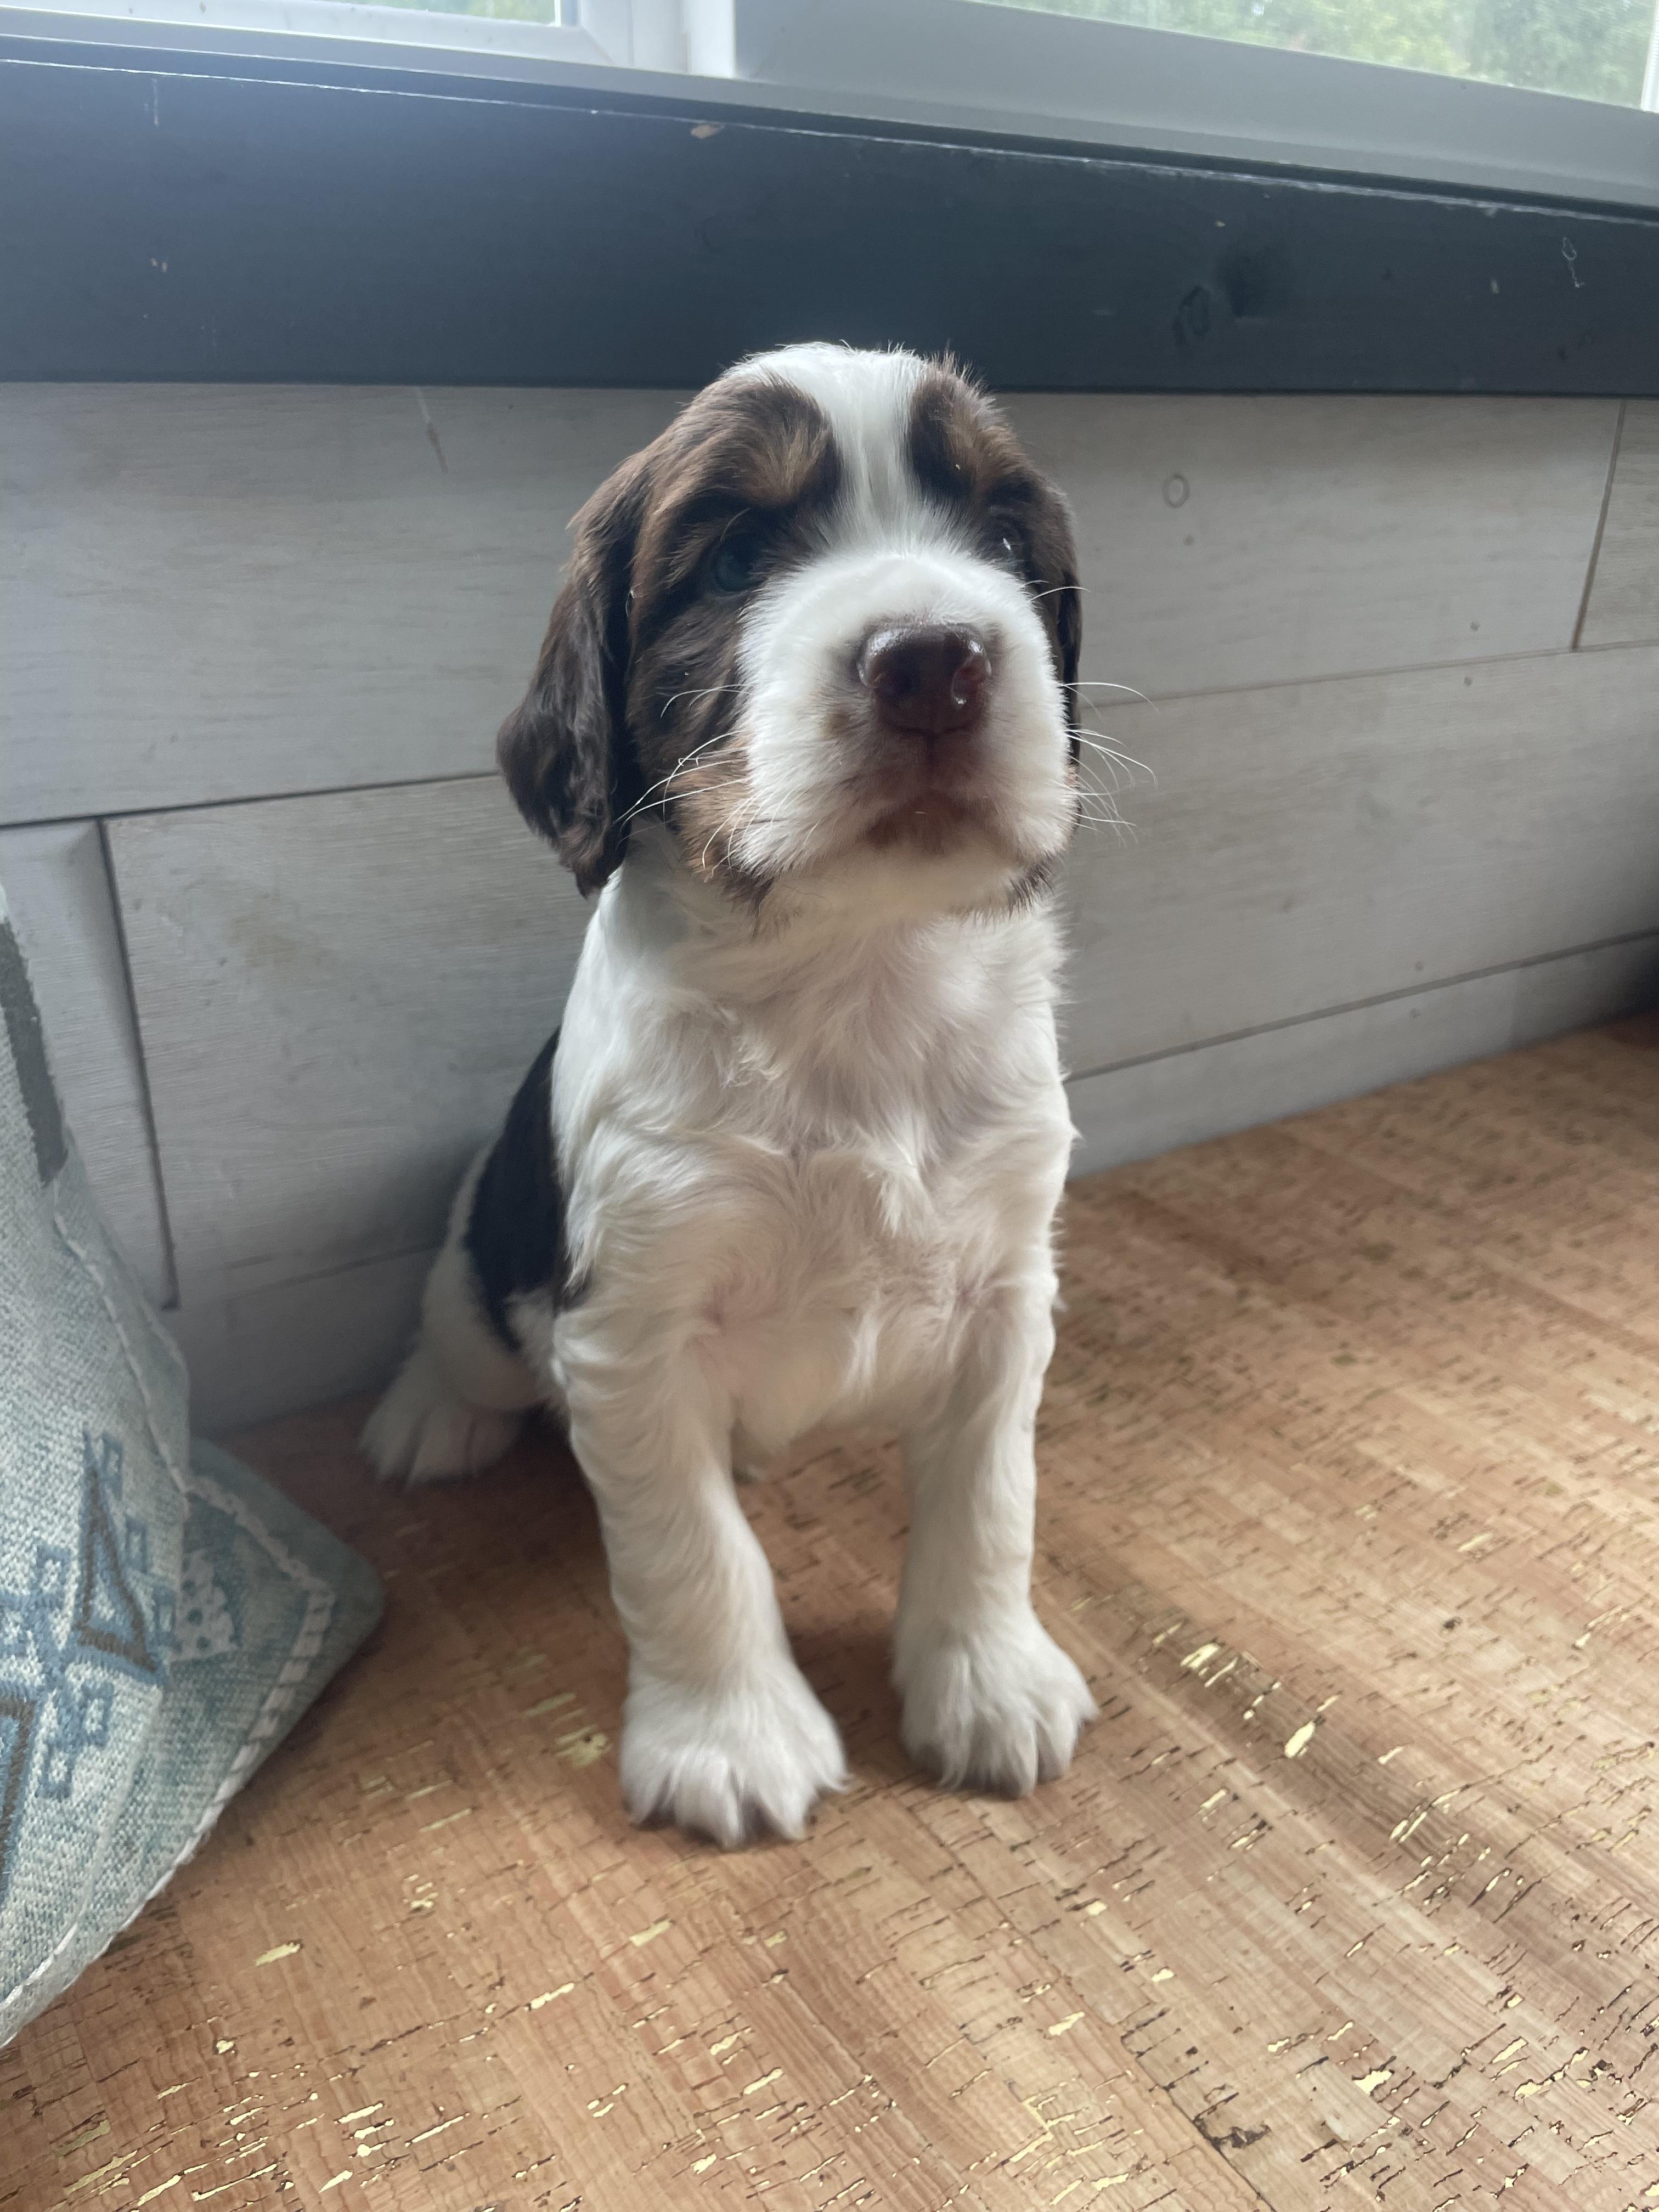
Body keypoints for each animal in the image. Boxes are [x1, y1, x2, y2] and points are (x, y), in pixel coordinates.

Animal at [364, 342, 1097, 1846]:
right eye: (739, 558)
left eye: (1005, 544)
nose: (934, 663)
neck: (855, 975)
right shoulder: (629, 1331)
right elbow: (691, 1550)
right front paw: (733, 1738)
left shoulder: (1006, 1297)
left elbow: (990, 1502)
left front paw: (988, 1681)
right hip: (488, 1267)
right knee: (456, 1330)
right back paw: (427, 1419)